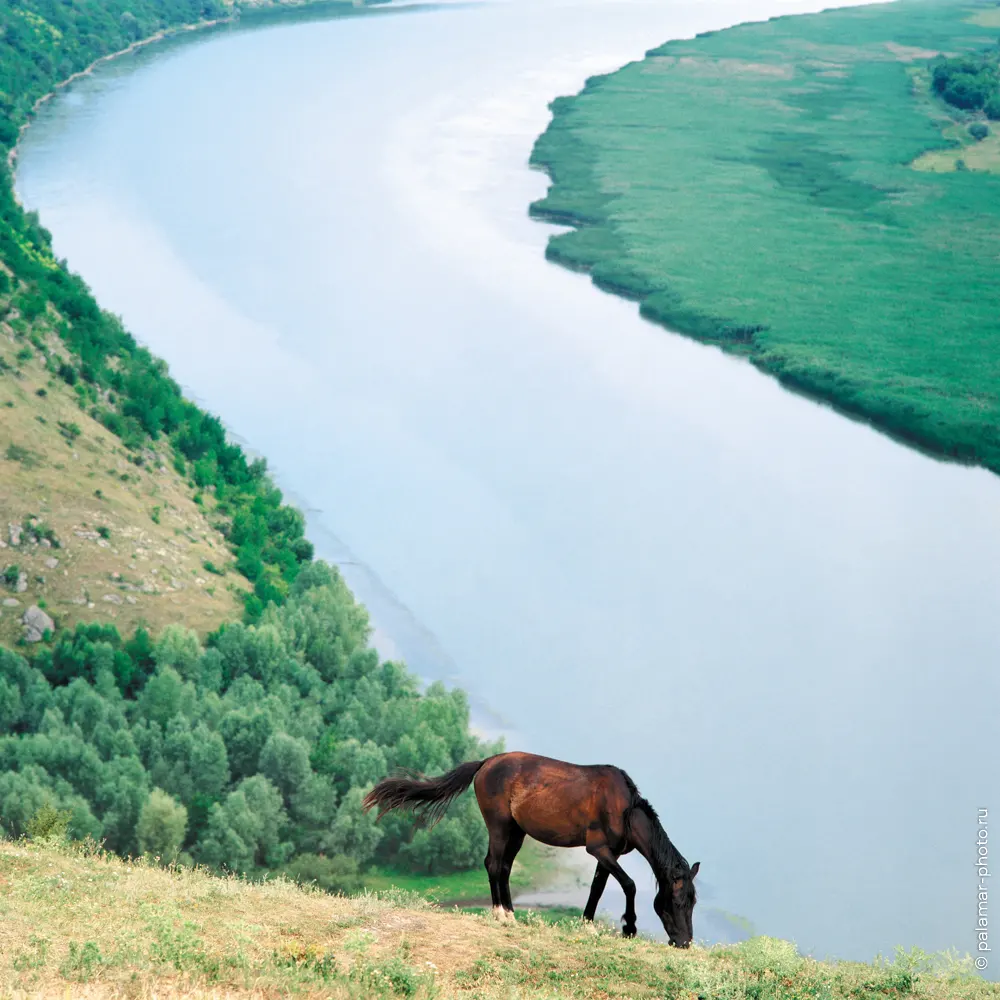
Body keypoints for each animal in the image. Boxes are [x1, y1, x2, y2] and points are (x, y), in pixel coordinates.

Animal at [364, 752, 700, 944]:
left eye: (693, 902)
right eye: (677, 901)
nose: (684, 942)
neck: (624, 808)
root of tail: (485, 764)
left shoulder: (609, 854)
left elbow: (597, 888)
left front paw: (588, 925)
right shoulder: (598, 849)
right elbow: (629, 884)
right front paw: (629, 927)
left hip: (517, 831)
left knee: (504, 867)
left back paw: (511, 914)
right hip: (499, 826)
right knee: (493, 864)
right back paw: (500, 914)